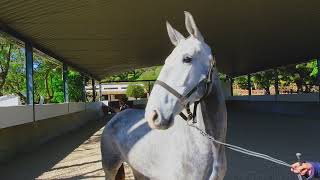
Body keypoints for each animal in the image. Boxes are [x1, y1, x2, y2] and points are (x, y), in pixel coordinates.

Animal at [100, 11, 228, 180]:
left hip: (138, 170)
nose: (153, 115)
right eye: (166, 61)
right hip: (110, 168)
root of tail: (116, 116)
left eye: (187, 58)